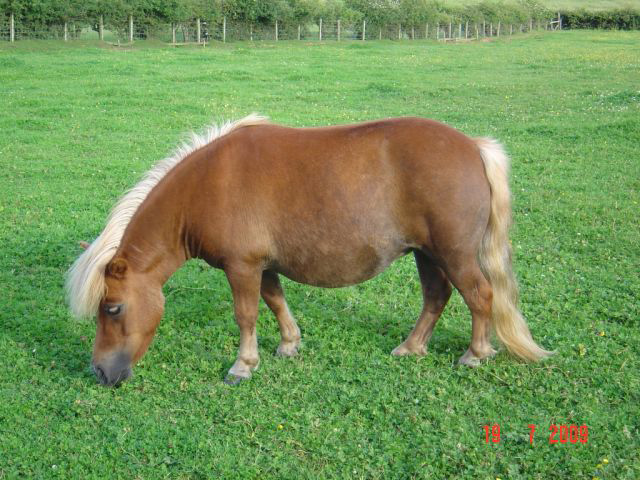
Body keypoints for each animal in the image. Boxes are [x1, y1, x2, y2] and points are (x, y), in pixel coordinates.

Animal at [66, 113, 552, 386]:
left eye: (112, 308)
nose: (100, 373)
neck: (208, 185)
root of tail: (473, 147)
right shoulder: (262, 265)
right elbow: (275, 301)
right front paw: (288, 344)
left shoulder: (241, 267)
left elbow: (246, 314)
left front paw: (243, 365)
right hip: (427, 253)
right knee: (437, 297)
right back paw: (411, 347)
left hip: (453, 253)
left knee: (480, 296)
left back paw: (475, 354)